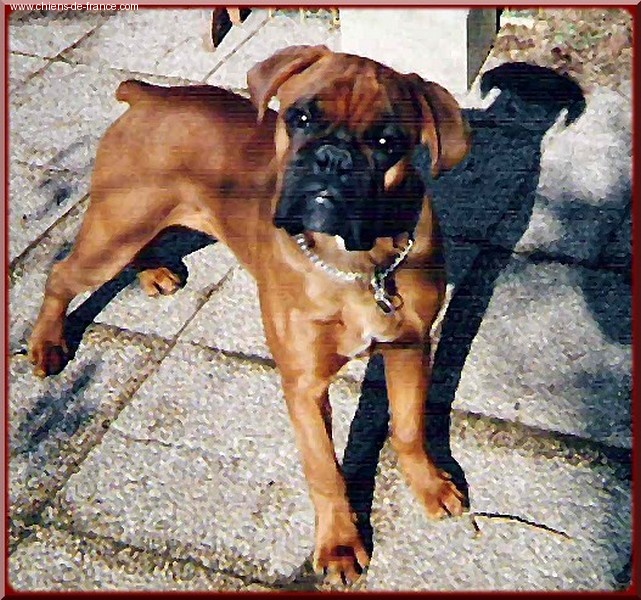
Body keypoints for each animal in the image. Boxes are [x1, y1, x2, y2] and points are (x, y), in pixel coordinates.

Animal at [28, 45, 471, 585]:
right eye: (301, 117)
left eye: (388, 142)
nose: (332, 158)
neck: (359, 262)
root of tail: (149, 96)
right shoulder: (304, 385)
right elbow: (324, 469)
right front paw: (339, 543)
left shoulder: (408, 347)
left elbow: (407, 428)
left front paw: (429, 485)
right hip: (113, 232)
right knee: (60, 276)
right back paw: (47, 343)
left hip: (135, 225)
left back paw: (152, 272)